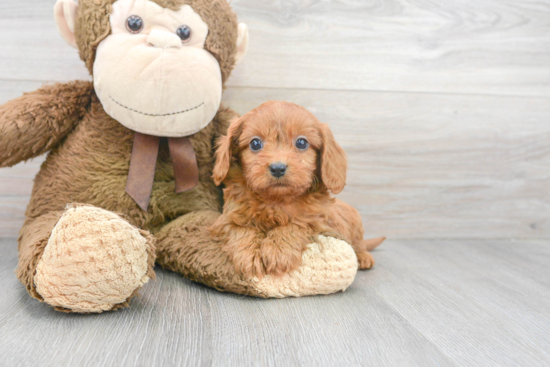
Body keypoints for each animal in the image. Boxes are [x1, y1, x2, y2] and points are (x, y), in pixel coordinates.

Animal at [209, 100, 386, 278]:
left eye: (301, 143)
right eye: (255, 143)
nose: (278, 168)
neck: (275, 201)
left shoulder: (319, 223)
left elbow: (295, 225)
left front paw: (278, 251)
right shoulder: (226, 219)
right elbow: (241, 229)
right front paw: (250, 255)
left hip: (355, 222)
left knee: (358, 243)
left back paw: (363, 257)